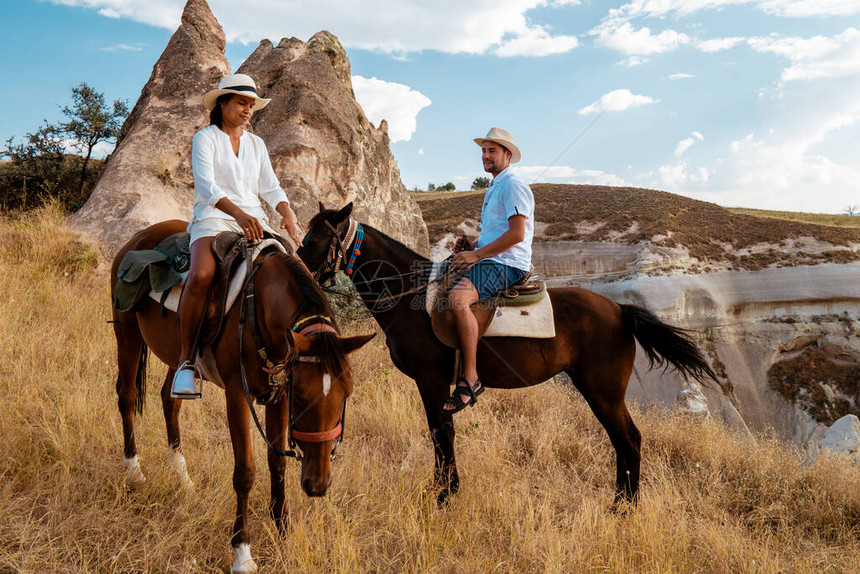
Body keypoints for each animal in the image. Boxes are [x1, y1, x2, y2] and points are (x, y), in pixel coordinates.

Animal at [110, 219, 372, 572]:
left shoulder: (277, 397)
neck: (259, 307)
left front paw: (282, 530)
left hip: (178, 356)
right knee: (126, 396)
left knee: (170, 398)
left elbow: (277, 461)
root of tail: (135, 240)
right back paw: (134, 470)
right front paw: (243, 551)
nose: (317, 484)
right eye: (302, 395)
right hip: (127, 335)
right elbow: (245, 471)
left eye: (347, 393)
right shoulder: (237, 394)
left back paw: (182, 476)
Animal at [296, 206, 720, 508]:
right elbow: (438, 433)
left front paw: (444, 495)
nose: (298, 266)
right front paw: (442, 489)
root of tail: (619, 308)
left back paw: (622, 508)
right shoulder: (429, 385)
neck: (411, 298)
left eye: (315, 237)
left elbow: (442, 434)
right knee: (624, 442)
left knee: (629, 440)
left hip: (603, 391)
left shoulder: (433, 381)